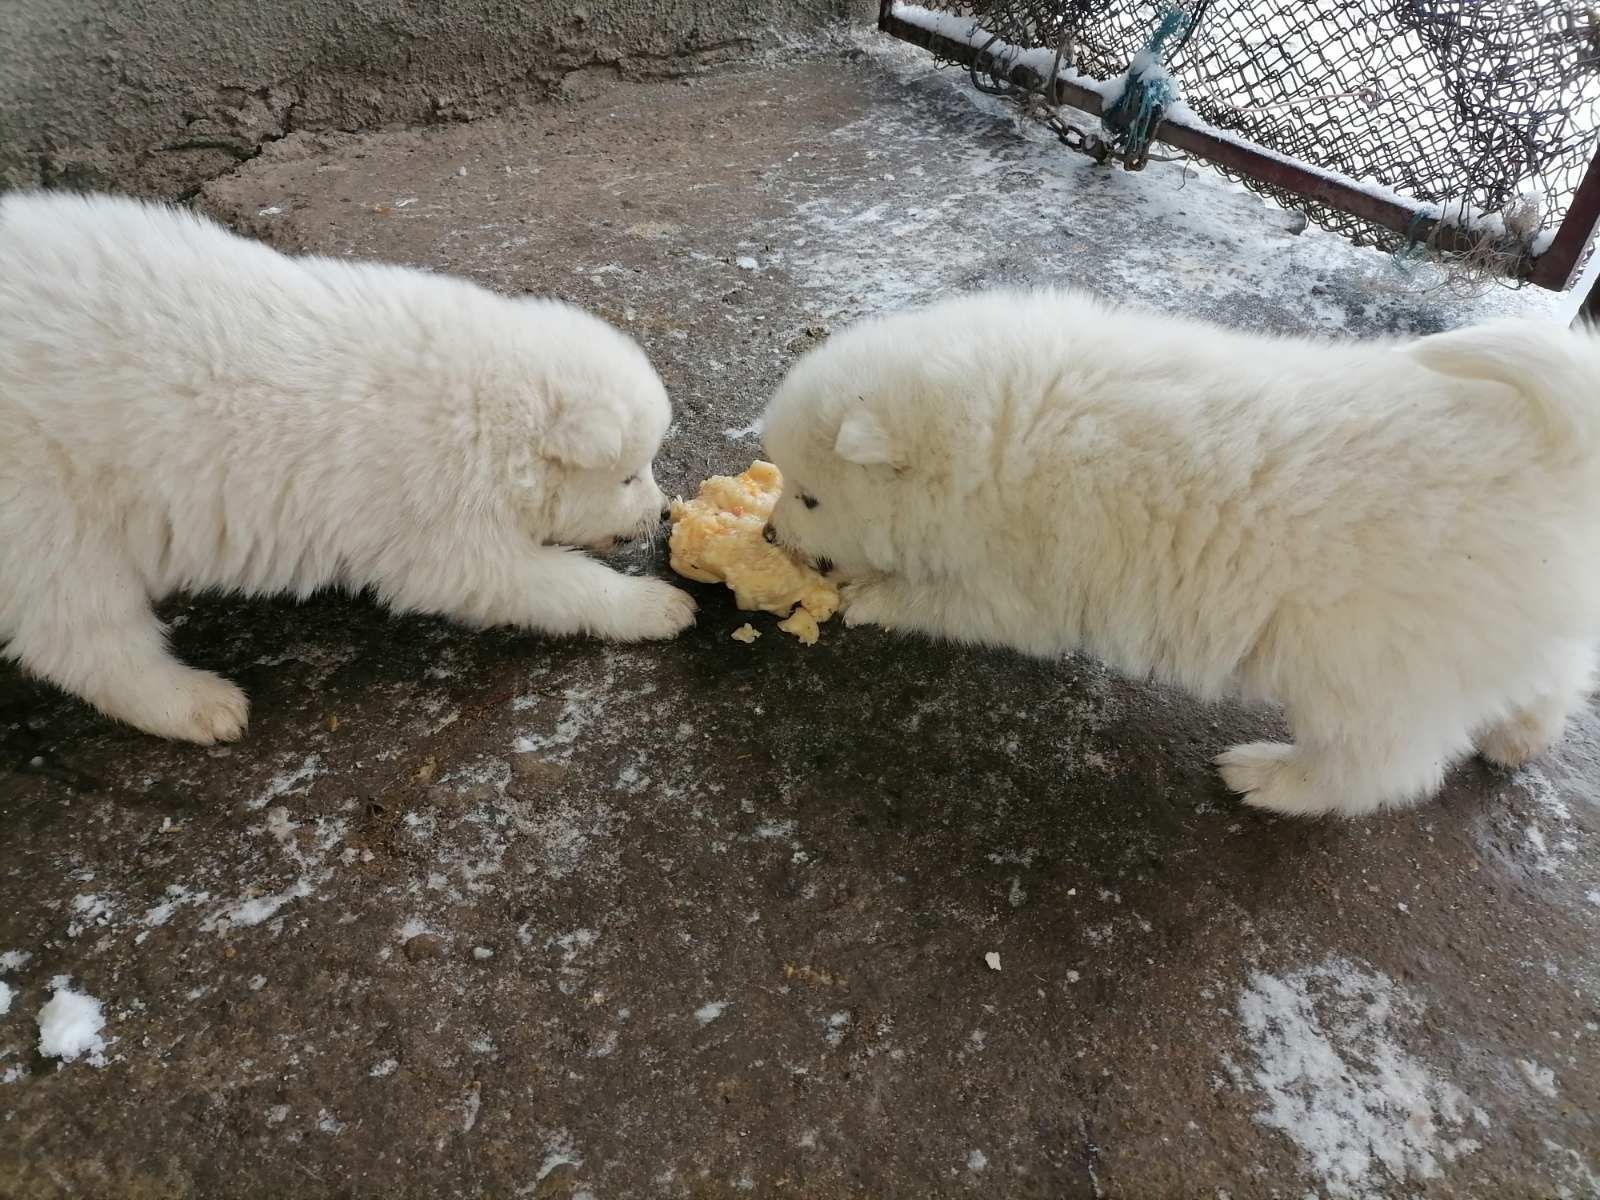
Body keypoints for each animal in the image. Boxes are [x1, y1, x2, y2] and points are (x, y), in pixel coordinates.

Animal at [1, 190, 700, 742]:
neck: (481, 409)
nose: (665, 511)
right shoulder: (432, 517)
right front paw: (652, 605)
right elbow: (527, 579)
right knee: (81, 629)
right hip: (47, 508)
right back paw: (194, 703)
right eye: (629, 475)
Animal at [758, 286, 1600, 825]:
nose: (767, 538)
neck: (997, 428)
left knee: (1377, 768)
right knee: (1547, 678)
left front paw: (870, 594)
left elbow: (941, 601)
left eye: (810, 498)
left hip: (1373, 671)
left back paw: (1272, 778)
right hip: (1490, 634)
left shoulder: (1014, 589)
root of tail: (1560, 458)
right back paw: (1519, 738)